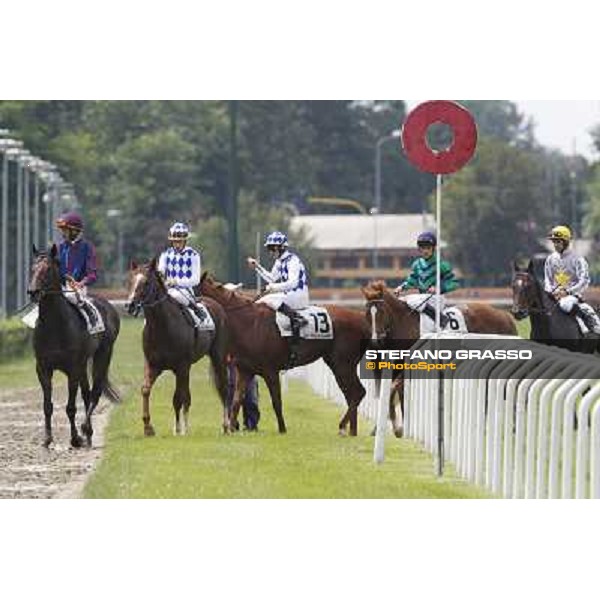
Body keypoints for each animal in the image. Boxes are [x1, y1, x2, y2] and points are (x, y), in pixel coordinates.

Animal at [27, 244, 121, 446]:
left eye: (47, 269)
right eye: (32, 268)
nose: (33, 292)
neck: (54, 325)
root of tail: (109, 306)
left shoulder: (72, 368)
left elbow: (70, 406)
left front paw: (75, 437)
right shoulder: (43, 368)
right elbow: (47, 405)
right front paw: (47, 438)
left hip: (103, 354)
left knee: (95, 391)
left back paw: (85, 428)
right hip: (83, 363)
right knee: (86, 393)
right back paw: (89, 434)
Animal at [126, 260, 230, 434]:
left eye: (146, 282)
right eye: (131, 281)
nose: (129, 305)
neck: (162, 327)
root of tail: (216, 305)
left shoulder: (181, 366)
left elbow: (178, 398)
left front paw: (180, 429)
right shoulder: (153, 365)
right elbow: (145, 389)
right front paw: (148, 427)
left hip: (217, 356)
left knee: (223, 387)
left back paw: (226, 425)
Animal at [199, 274, 372, 436]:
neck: (248, 323)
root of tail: (361, 319)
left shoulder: (270, 371)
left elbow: (276, 401)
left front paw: (282, 429)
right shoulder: (245, 371)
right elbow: (236, 401)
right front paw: (231, 429)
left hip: (343, 363)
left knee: (358, 392)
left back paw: (343, 427)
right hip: (337, 363)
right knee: (352, 394)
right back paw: (352, 431)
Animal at [360, 282, 516, 436]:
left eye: (381, 312)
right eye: (367, 313)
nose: (375, 341)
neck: (403, 324)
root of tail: (505, 315)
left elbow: (396, 390)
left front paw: (399, 428)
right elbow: (389, 392)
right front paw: (380, 427)